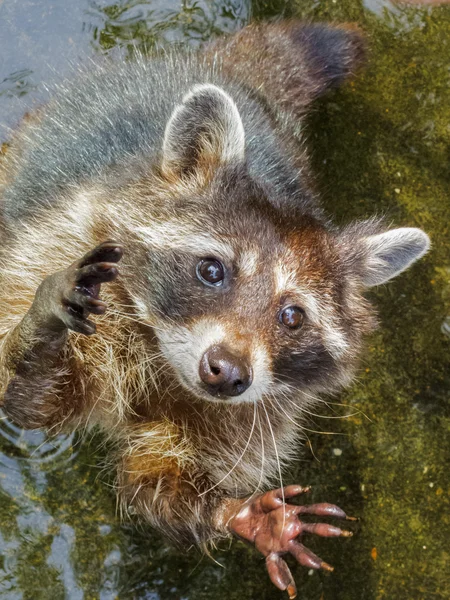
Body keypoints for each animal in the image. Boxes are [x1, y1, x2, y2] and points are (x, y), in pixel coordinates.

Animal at [0, 21, 428, 596]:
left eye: (293, 316)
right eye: (211, 270)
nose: (226, 373)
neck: (163, 359)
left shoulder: (254, 412)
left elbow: (156, 479)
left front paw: (239, 515)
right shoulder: (54, 245)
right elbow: (29, 406)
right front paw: (41, 326)